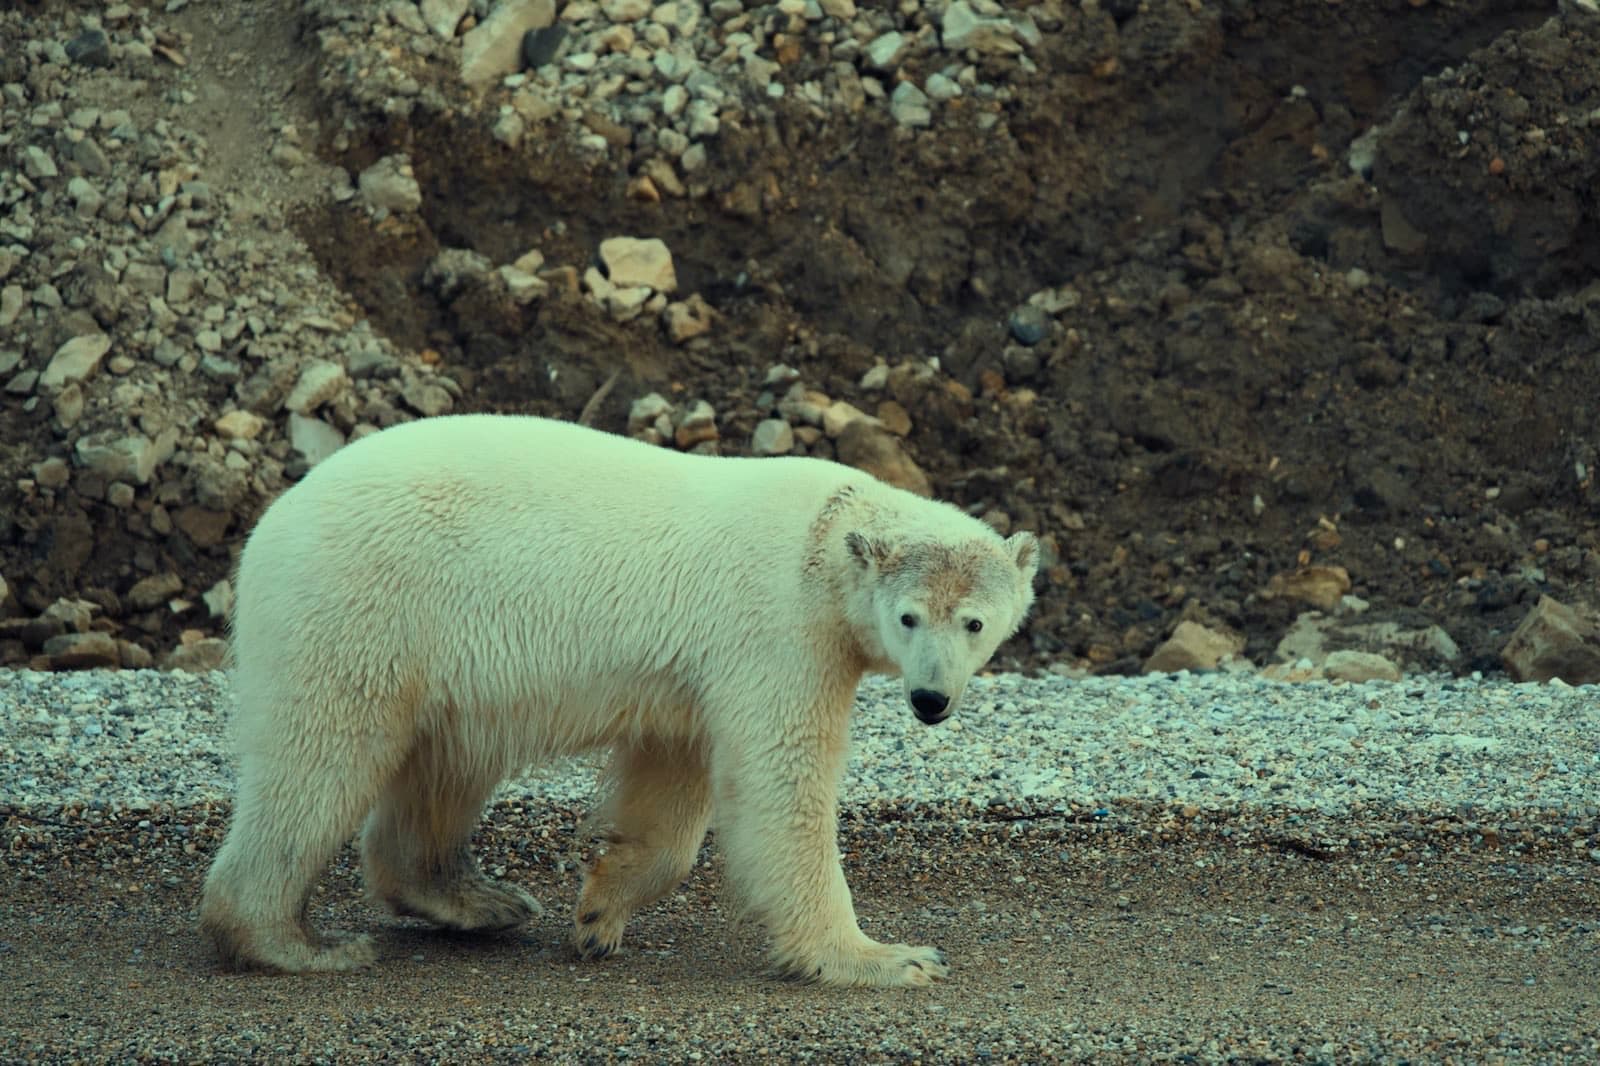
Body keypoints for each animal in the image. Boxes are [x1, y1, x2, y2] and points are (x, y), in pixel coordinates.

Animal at [200, 413, 1038, 988]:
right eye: (909, 617)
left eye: (974, 621)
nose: (930, 698)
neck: (825, 534)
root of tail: (271, 523)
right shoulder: (778, 630)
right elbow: (782, 779)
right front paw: (889, 957)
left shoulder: (699, 668)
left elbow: (674, 778)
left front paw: (601, 911)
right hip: (361, 608)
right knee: (322, 759)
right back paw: (293, 943)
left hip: (440, 656)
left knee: (444, 763)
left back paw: (481, 900)